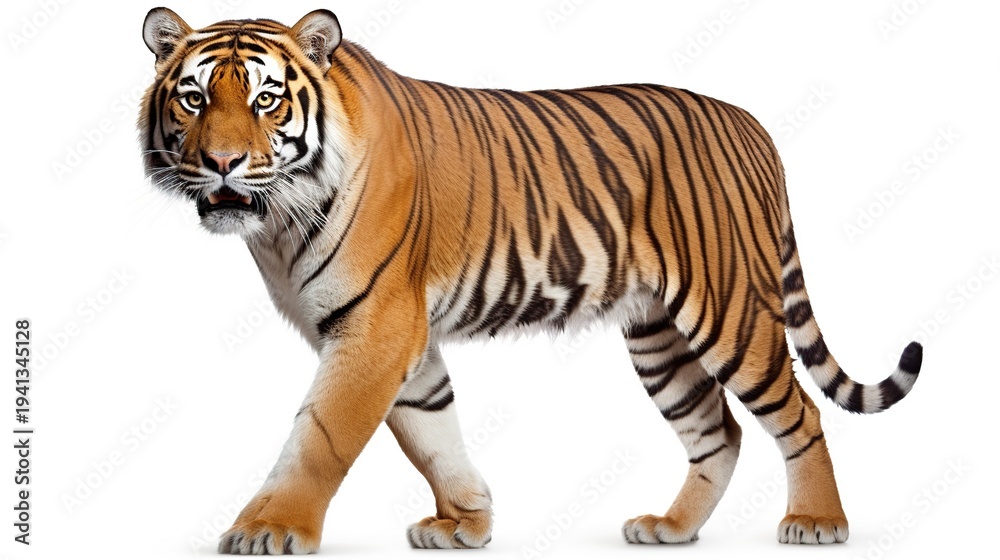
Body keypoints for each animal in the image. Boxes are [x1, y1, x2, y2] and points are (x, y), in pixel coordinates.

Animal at [139, 7, 923, 555]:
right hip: (658, 337)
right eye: (193, 99)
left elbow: (322, 433)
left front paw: (268, 530)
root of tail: (752, 123)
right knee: (718, 431)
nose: (222, 163)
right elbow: (429, 429)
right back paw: (671, 529)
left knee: (800, 412)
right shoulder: (401, 335)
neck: (276, 222)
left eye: (267, 100)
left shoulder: (375, 325)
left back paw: (816, 521)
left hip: (728, 310)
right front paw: (466, 521)